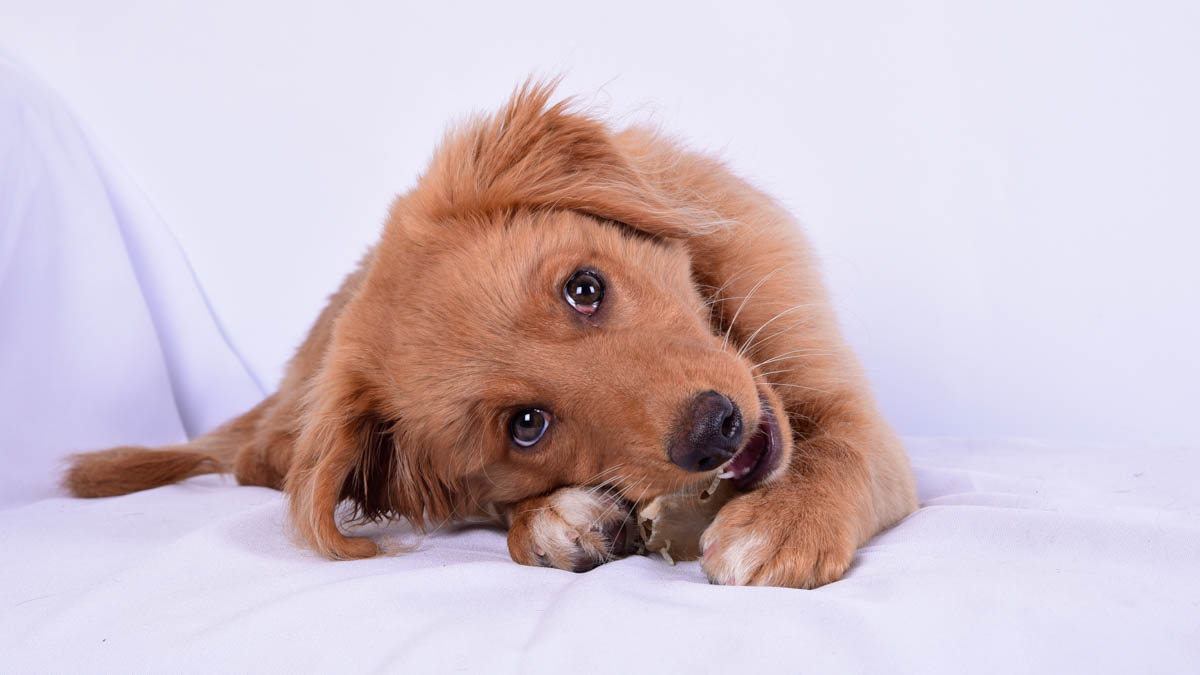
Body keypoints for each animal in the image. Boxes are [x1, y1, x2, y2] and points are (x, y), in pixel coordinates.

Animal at [65, 82, 912, 588]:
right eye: (527, 425)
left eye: (585, 288)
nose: (713, 430)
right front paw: (552, 516)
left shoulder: (848, 409)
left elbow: (837, 444)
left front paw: (781, 522)